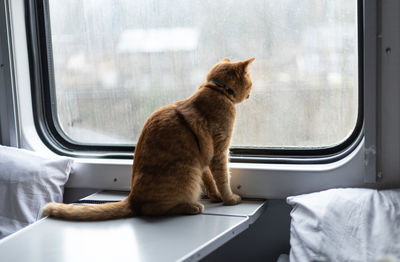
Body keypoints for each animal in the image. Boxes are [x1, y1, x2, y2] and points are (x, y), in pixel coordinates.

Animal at [42, 57, 255, 219]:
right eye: (250, 82)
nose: (251, 93)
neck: (217, 90)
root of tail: (132, 198)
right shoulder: (219, 151)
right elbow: (222, 178)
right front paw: (229, 199)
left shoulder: (205, 159)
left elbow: (210, 180)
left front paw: (215, 196)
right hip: (187, 174)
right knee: (151, 210)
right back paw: (190, 207)